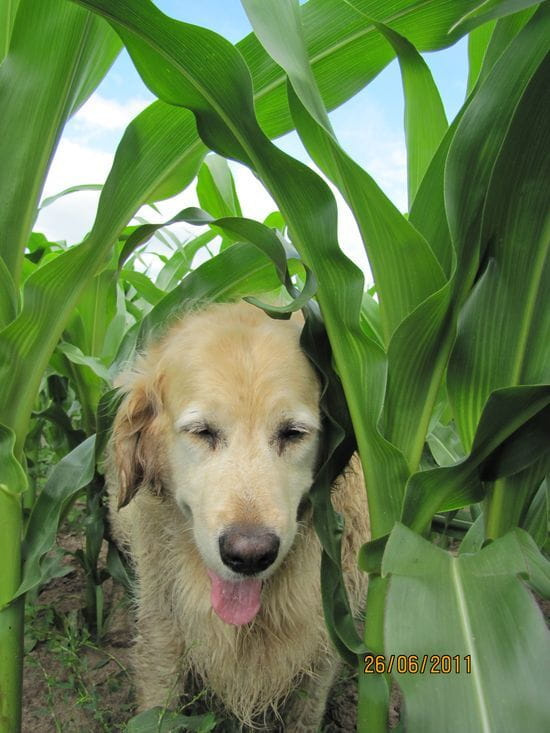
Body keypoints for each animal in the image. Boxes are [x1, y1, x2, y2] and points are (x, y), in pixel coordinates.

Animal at [106, 300, 370, 728]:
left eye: (293, 433)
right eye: (202, 431)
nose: (249, 555)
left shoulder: (327, 638)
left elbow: (305, 713)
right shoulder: (163, 631)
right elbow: (158, 704)